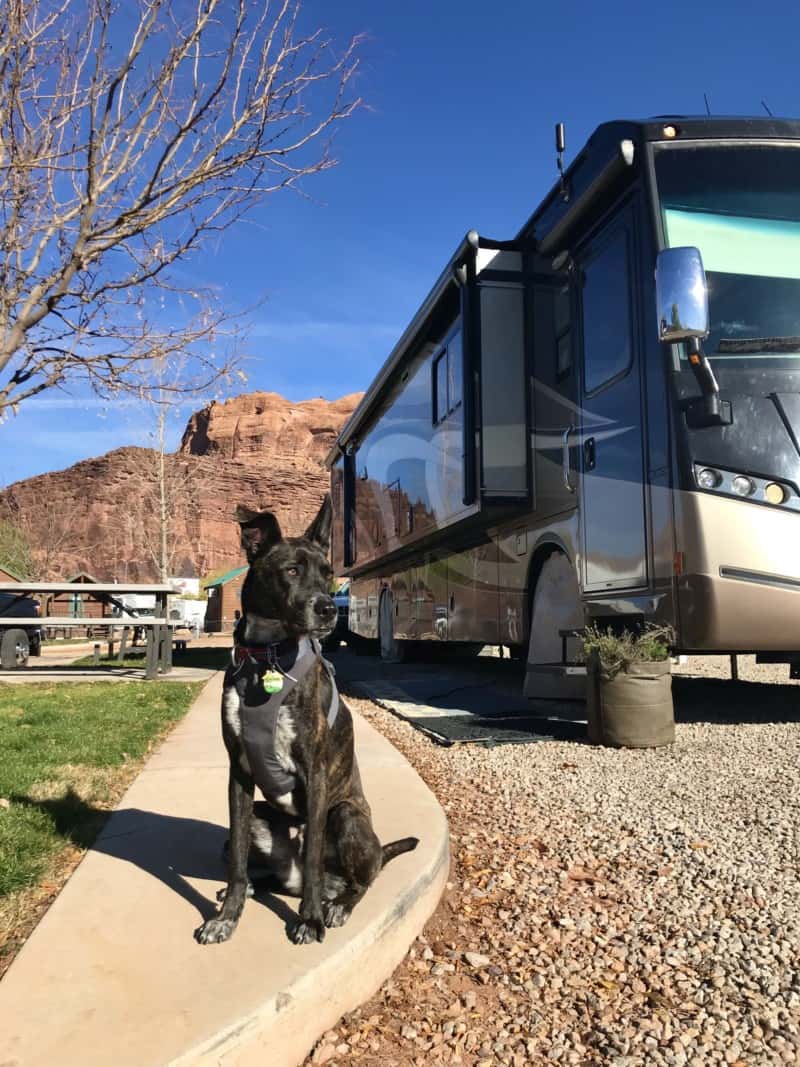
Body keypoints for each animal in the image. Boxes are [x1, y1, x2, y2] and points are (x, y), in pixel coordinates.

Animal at [196, 495, 420, 947]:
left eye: (329, 574)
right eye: (292, 571)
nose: (329, 610)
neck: (267, 658)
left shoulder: (315, 772)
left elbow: (315, 850)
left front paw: (310, 920)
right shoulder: (238, 773)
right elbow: (239, 861)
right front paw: (227, 916)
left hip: (347, 816)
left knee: (359, 880)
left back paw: (337, 905)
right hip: (258, 820)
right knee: (258, 866)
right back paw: (248, 889)